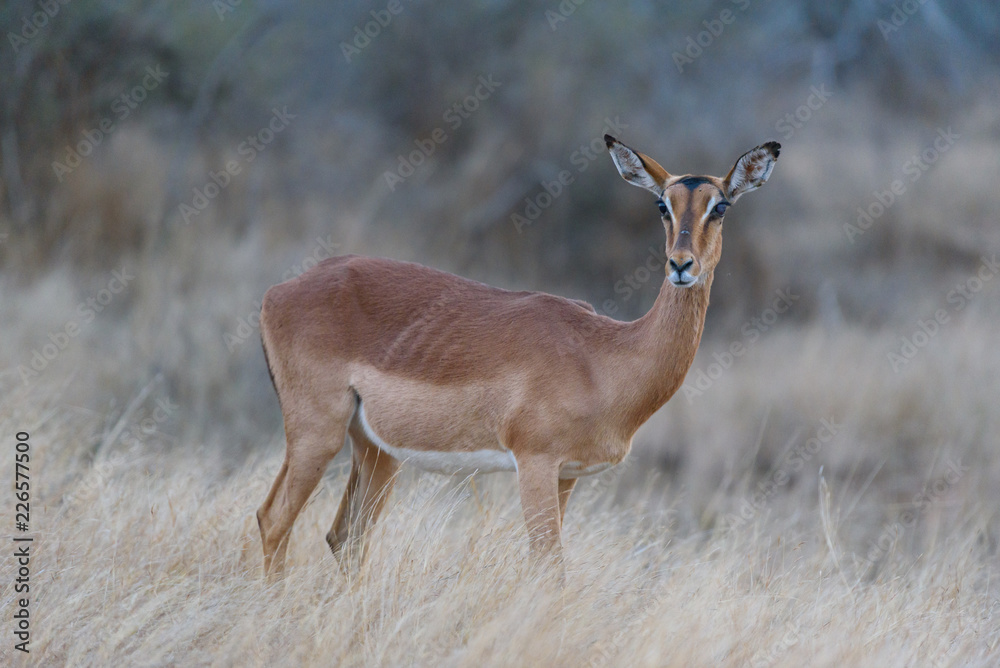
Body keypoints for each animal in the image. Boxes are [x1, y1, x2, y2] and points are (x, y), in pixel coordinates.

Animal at [256, 135, 780, 575]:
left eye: (721, 206)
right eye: (662, 205)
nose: (681, 265)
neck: (604, 354)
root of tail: (280, 291)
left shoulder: (568, 475)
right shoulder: (535, 463)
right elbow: (548, 568)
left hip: (375, 450)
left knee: (344, 536)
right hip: (317, 434)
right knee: (273, 520)